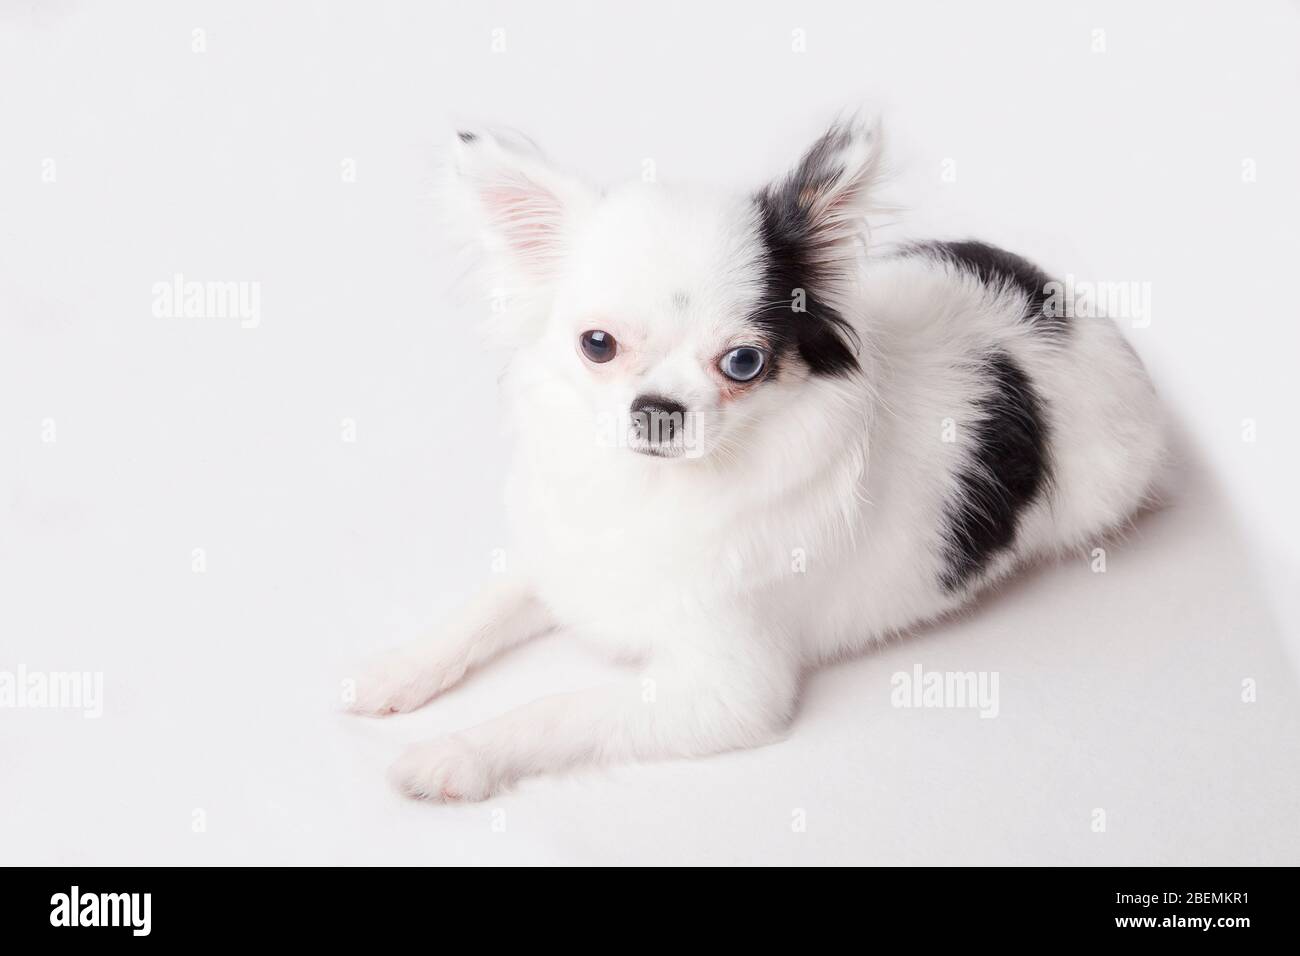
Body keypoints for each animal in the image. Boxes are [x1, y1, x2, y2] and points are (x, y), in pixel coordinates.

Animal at [348, 115, 1170, 801]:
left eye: (742, 363)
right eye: (597, 346)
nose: (658, 407)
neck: (655, 488)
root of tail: (1066, 308)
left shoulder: (724, 693)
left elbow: (555, 710)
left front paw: (452, 754)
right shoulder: (564, 555)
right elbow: (485, 606)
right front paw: (397, 668)